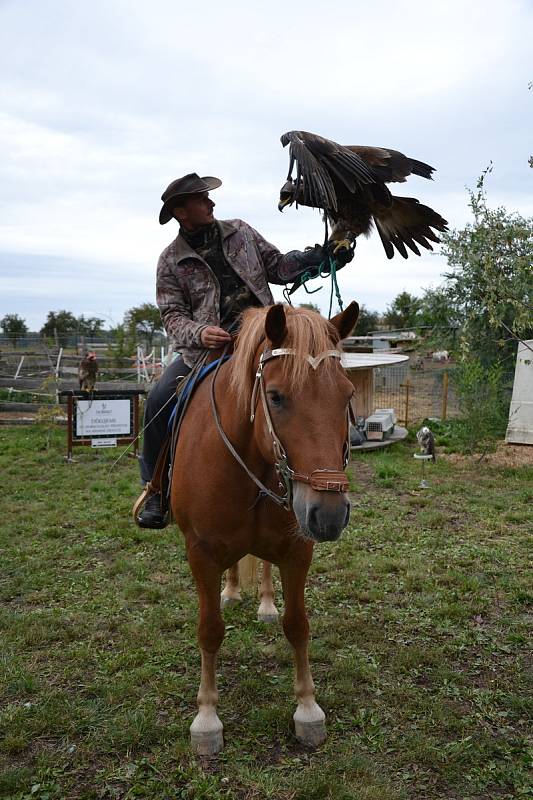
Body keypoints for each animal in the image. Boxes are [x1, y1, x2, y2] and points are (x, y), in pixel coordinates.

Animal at [172, 302, 360, 756]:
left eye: (347, 395)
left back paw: (264, 603)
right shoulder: (200, 552)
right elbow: (209, 631)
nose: (329, 515)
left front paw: (307, 709)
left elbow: (298, 625)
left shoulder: (297, 550)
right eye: (275, 396)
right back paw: (232, 592)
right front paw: (207, 719)